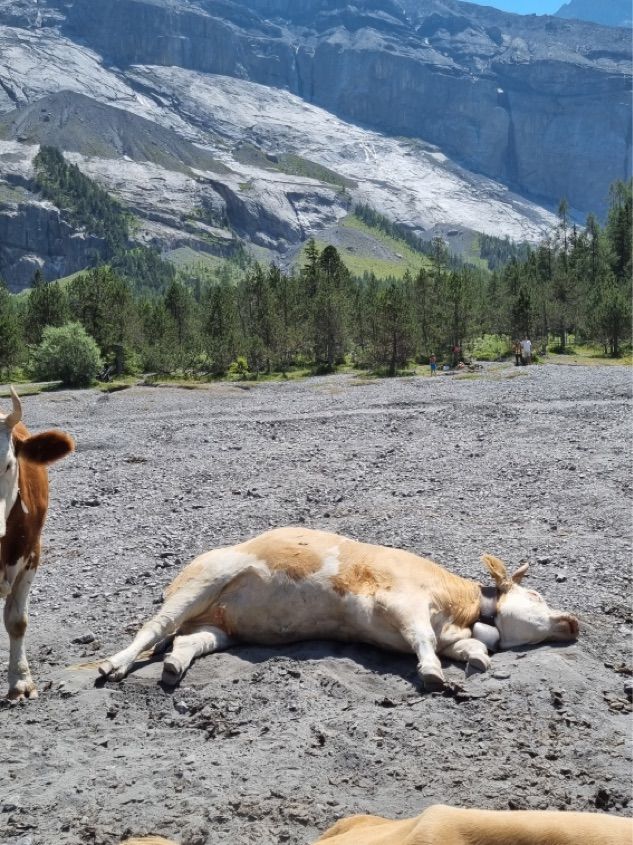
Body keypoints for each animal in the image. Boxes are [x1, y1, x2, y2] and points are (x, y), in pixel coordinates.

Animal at [99, 524, 576, 688]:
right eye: (536, 596)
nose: (572, 621)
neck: (461, 612)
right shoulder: (402, 602)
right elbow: (422, 638)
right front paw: (433, 673)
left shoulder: (450, 635)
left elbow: (471, 648)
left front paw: (477, 660)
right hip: (201, 582)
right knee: (156, 627)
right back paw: (113, 666)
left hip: (218, 626)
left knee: (184, 643)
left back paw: (173, 668)